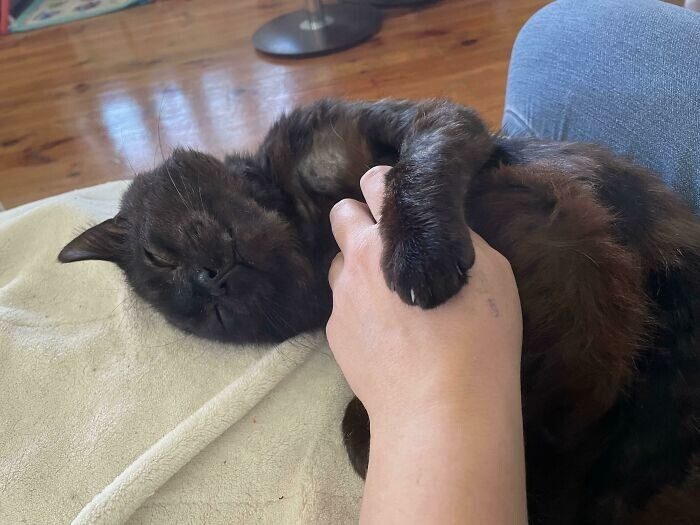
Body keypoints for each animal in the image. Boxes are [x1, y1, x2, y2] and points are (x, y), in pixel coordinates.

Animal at [59, 99, 700, 524]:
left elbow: (415, 168)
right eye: (213, 319)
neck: (299, 212)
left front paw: (419, 255)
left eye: (159, 254)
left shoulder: (428, 121)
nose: (209, 282)